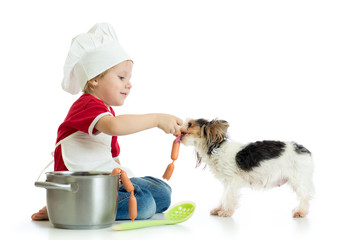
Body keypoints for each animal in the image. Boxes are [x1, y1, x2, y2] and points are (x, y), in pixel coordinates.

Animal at [180, 118, 316, 218]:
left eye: (189, 124)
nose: (179, 128)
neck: (215, 148)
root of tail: (305, 150)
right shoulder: (226, 183)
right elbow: (223, 196)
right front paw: (219, 209)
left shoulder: (232, 181)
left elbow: (228, 196)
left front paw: (226, 212)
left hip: (298, 179)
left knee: (305, 196)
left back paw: (301, 212)